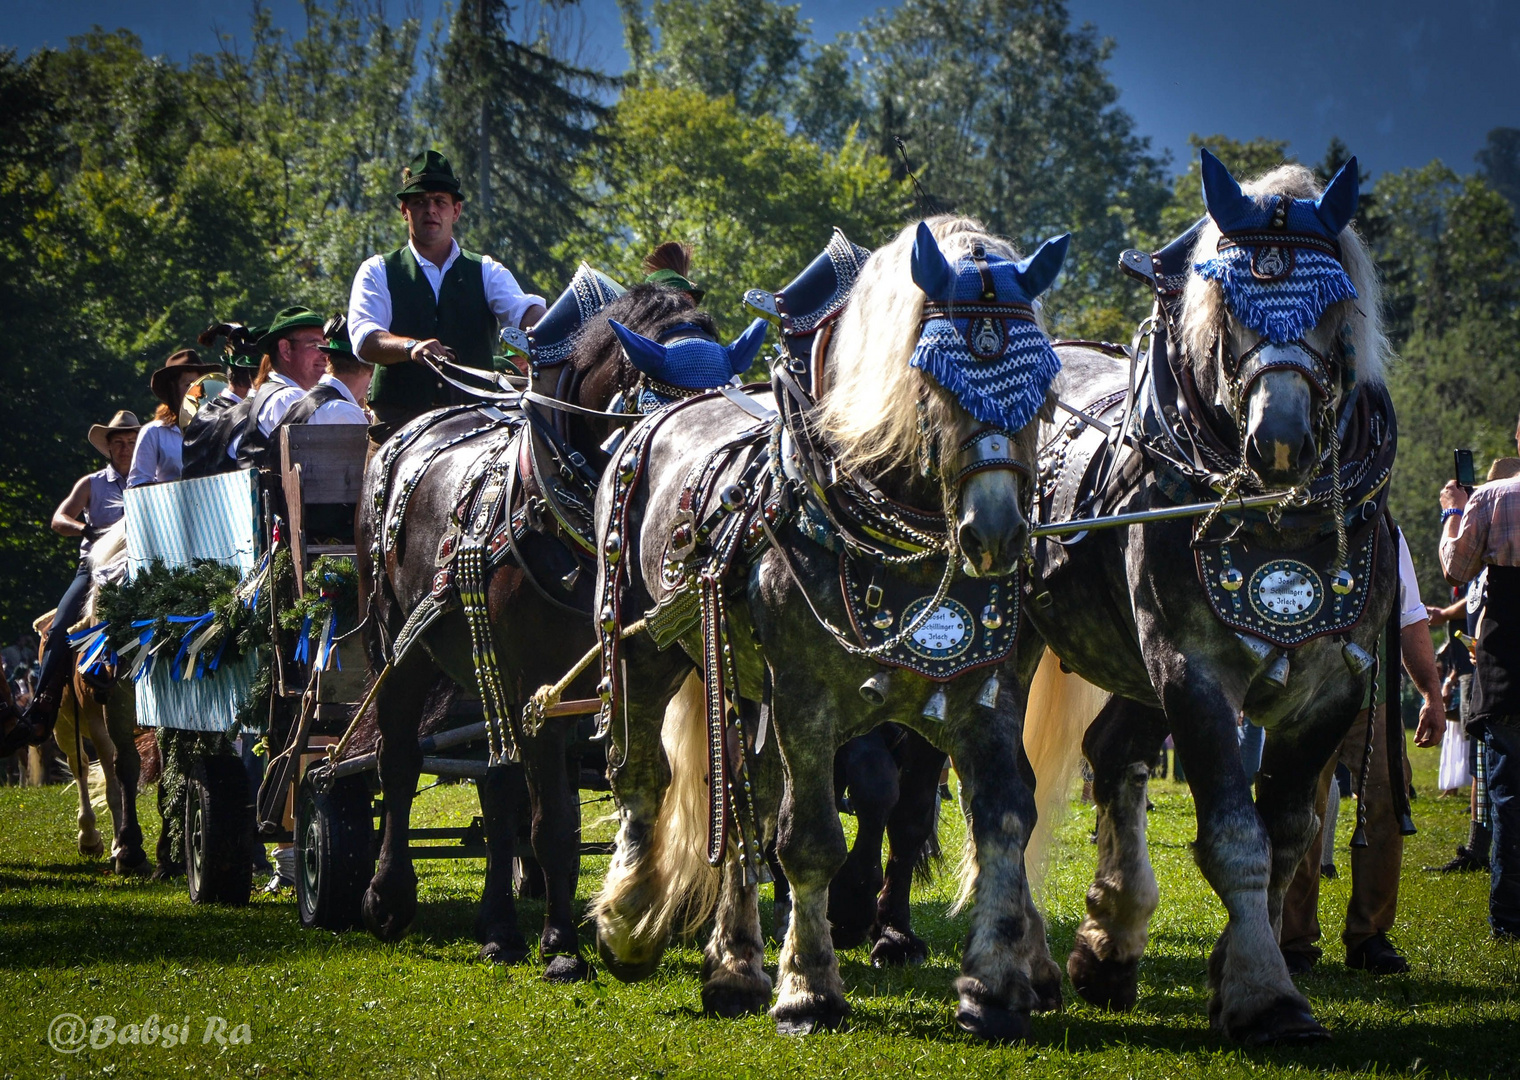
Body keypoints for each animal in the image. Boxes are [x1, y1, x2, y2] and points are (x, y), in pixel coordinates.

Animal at [355, 258, 760, 984]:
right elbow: (554, 823)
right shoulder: (543, 682)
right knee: (398, 763)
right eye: (660, 403)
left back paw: (497, 929)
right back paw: (388, 898)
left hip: (481, 671)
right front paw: (564, 944)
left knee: (496, 784)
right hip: (397, 648)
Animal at [589, 217, 1070, 1038]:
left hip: (741, 683)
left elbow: (1005, 818)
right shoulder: (805, 698)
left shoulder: (985, 694)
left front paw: (996, 986)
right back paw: (630, 922)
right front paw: (810, 988)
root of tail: (661, 412)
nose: (997, 534)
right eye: (932, 379)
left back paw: (734, 964)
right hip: (644, 651)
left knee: (742, 802)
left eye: (1041, 384)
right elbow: (810, 840)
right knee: (647, 777)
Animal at [1021, 148, 1398, 1045]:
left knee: (1112, 755)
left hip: (1134, 663)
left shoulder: (1334, 686)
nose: (1281, 439)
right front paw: (1267, 996)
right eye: (1228, 304)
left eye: (1336, 306)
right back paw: (1033, 961)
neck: (1278, 520)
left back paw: (1108, 943)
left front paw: (1235, 971)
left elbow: (1288, 833)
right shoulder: (1191, 672)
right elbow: (1234, 838)